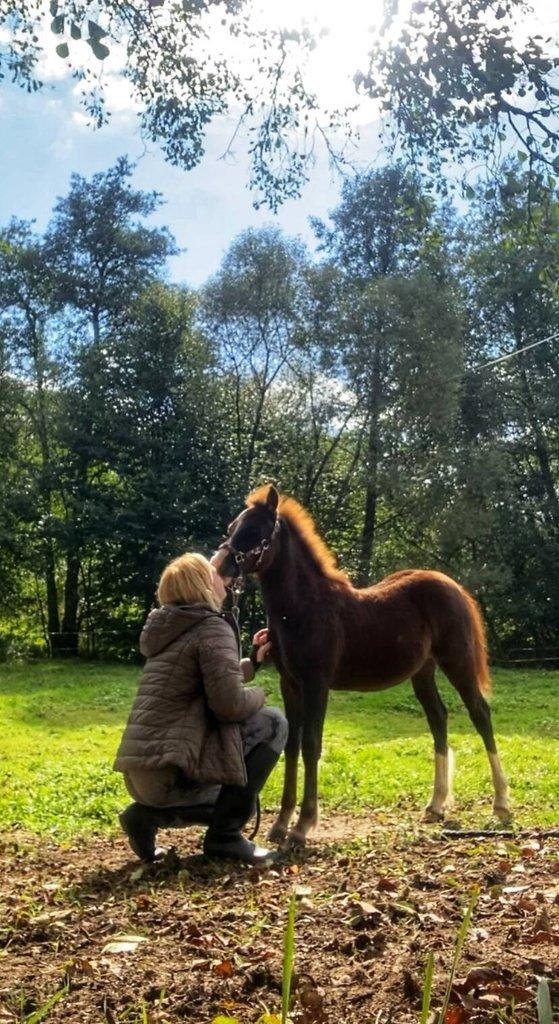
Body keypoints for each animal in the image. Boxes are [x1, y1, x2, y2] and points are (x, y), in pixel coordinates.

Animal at [211, 484, 511, 847]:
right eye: (232, 528)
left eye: (257, 532)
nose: (219, 567)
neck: (303, 608)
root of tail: (452, 585)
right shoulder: (290, 684)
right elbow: (292, 745)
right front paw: (281, 823)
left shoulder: (316, 683)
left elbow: (311, 745)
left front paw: (303, 826)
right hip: (422, 672)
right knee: (438, 718)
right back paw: (436, 805)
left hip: (458, 661)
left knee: (480, 714)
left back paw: (501, 804)